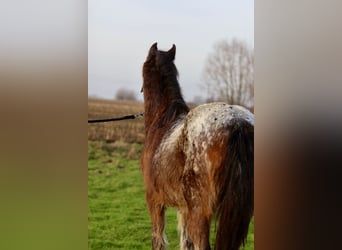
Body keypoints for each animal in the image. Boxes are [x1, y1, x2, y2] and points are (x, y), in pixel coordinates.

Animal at [140, 42, 254, 249]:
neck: (162, 121)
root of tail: (238, 123)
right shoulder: (184, 209)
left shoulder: (155, 202)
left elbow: (158, 241)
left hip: (200, 214)